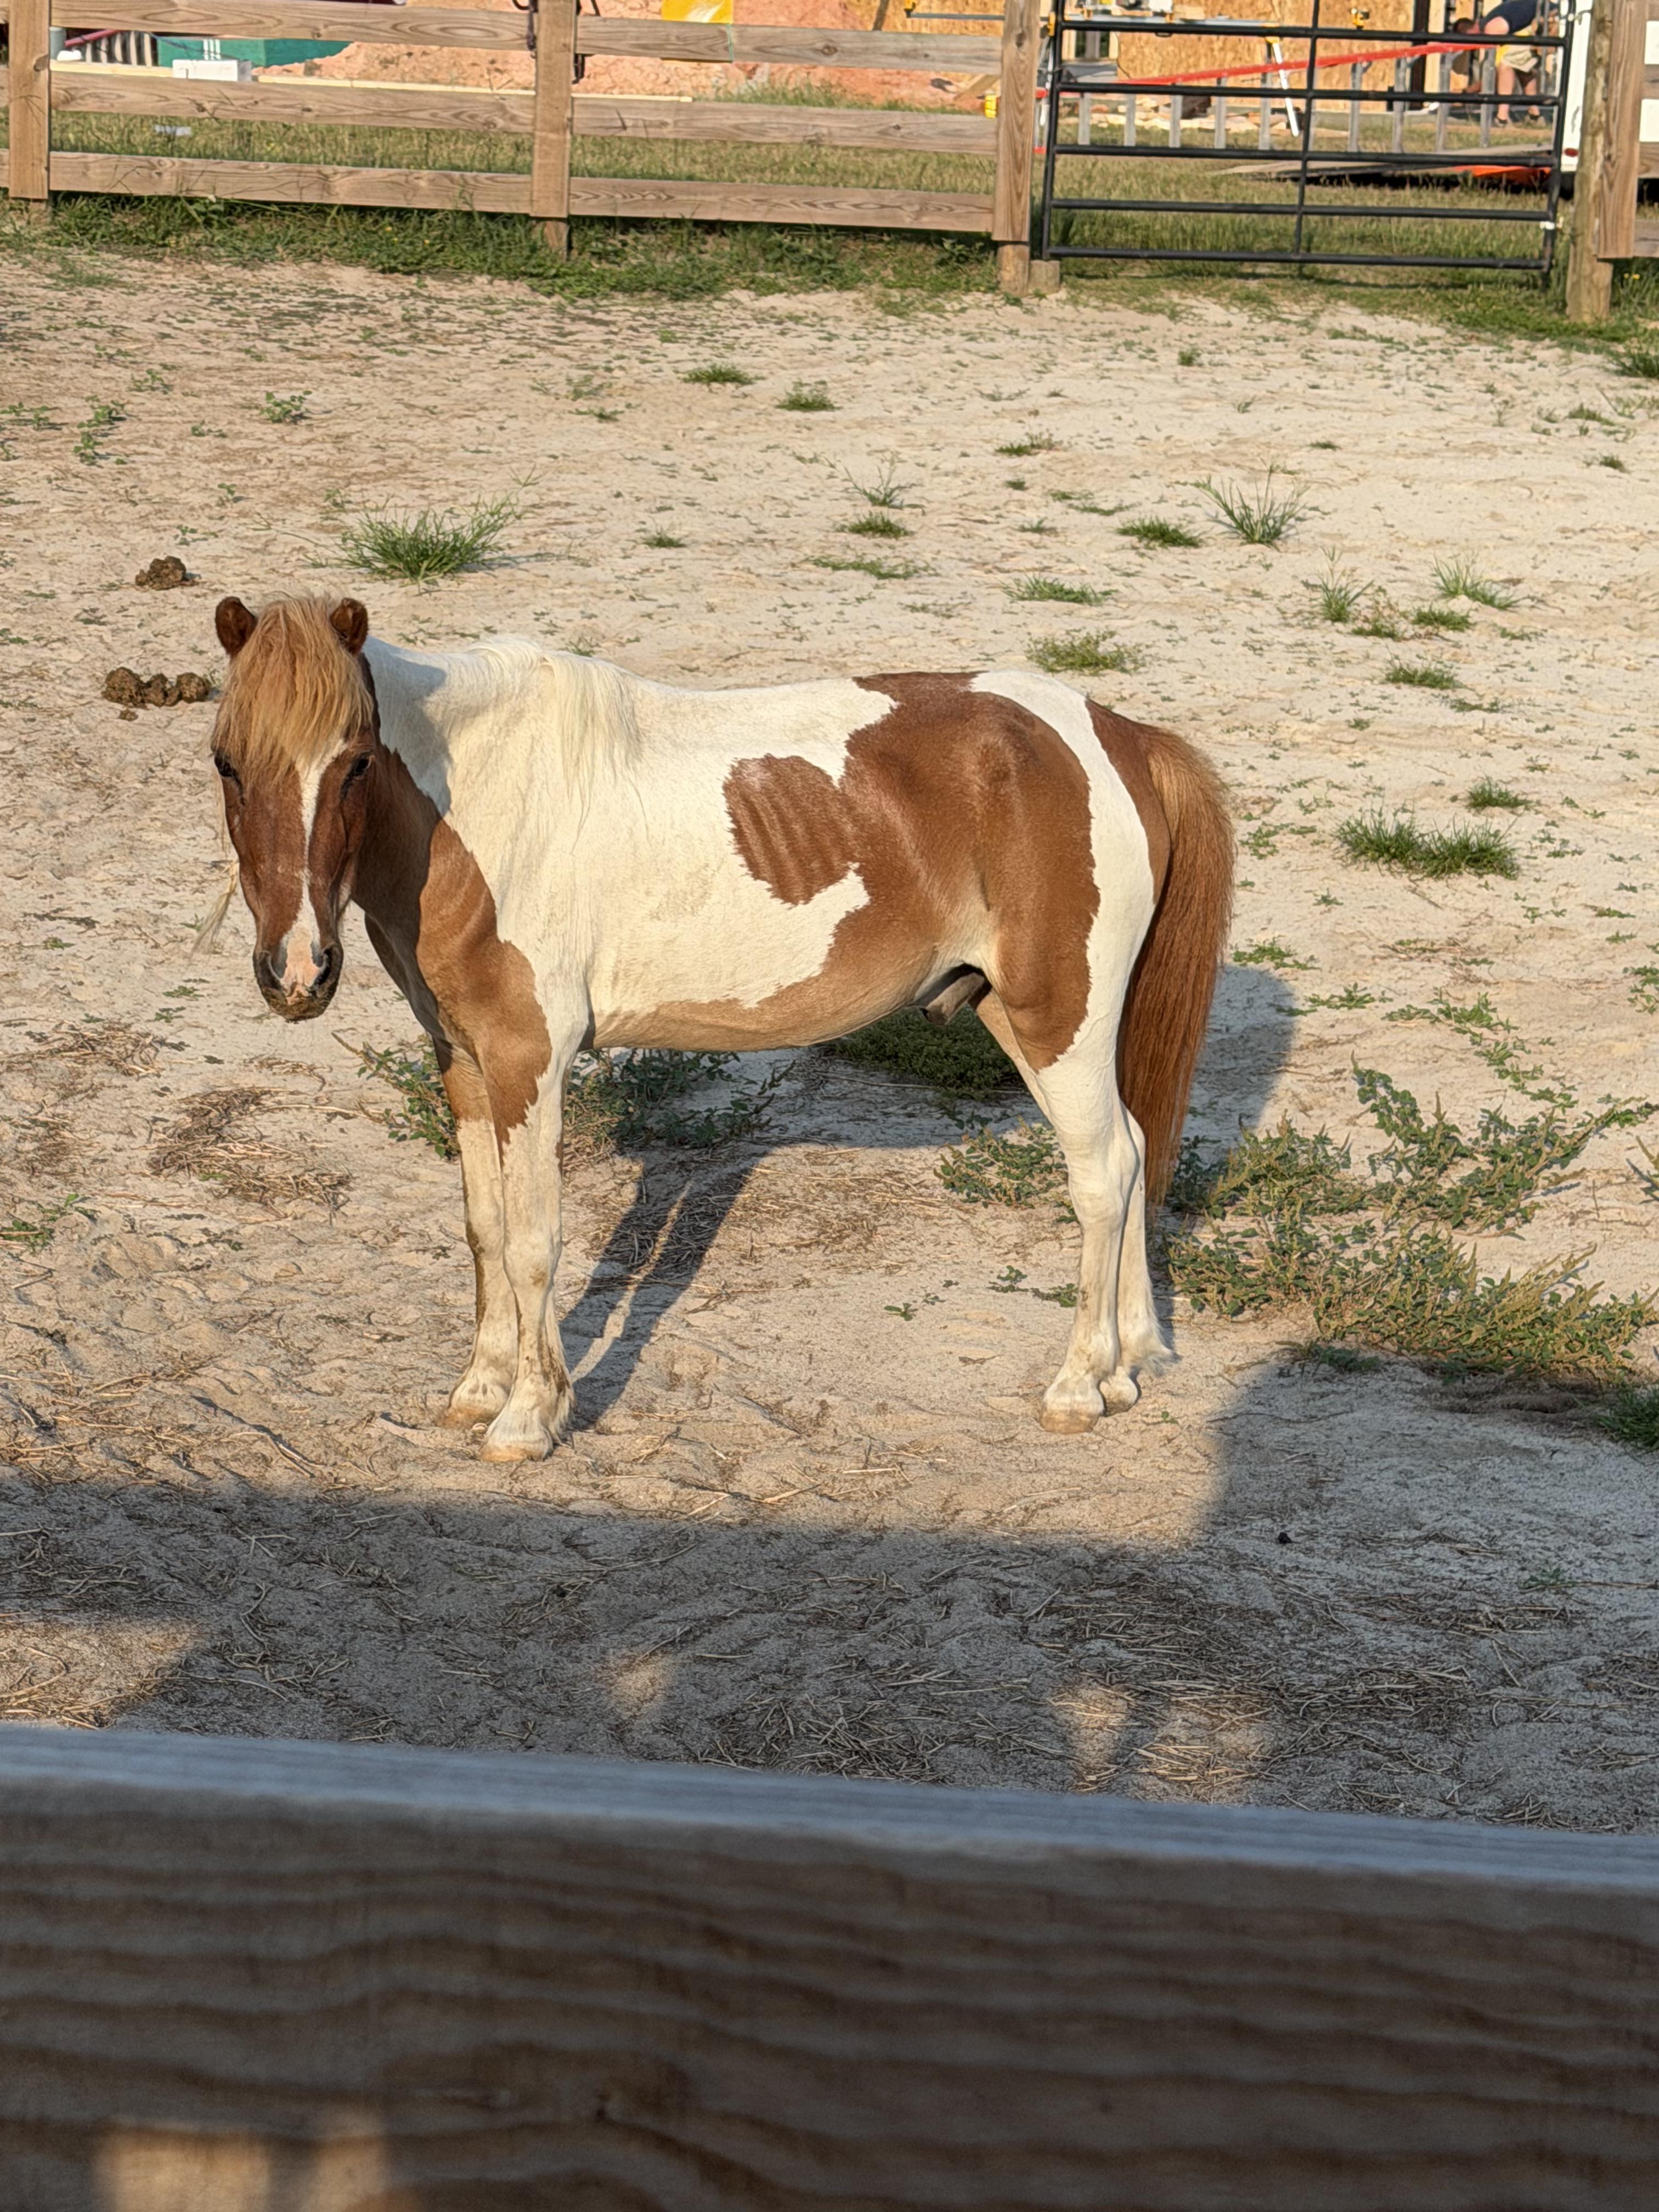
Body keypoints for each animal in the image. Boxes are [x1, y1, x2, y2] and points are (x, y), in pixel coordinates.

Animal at [206, 594, 1232, 1462]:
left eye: (354, 764)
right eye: (227, 763)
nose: (297, 971)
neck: (477, 803)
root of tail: (1116, 736)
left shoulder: (528, 1060)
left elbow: (536, 1240)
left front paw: (530, 1416)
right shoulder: (461, 1058)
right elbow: (485, 1228)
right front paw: (479, 1387)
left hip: (1057, 1018)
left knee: (1101, 1175)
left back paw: (1078, 1385)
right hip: (1027, 1018)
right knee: (1135, 1152)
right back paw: (1130, 1364)